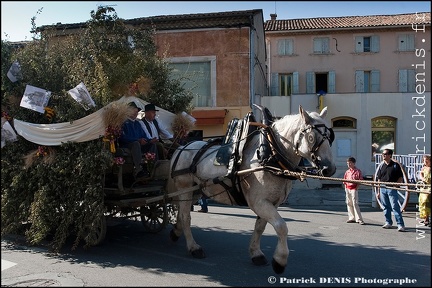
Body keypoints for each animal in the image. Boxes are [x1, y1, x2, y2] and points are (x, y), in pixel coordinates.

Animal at [166, 104, 338, 274]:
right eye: (311, 137)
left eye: (330, 136)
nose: (329, 169)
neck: (269, 155)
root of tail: (182, 147)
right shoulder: (259, 202)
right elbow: (281, 226)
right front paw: (280, 260)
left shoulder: (272, 203)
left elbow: (260, 227)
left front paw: (256, 253)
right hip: (185, 187)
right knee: (185, 216)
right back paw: (193, 247)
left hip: (196, 191)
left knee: (182, 213)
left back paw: (176, 232)